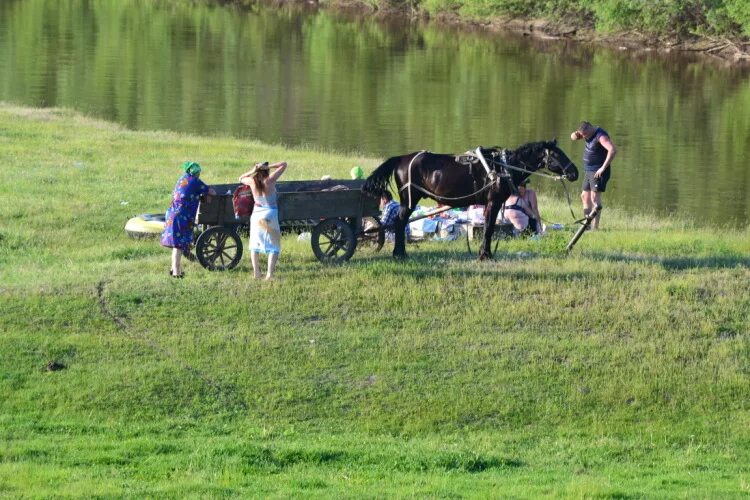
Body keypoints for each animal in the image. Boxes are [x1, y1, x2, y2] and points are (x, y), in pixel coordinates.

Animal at [364, 140, 580, 260]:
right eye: (556, 154)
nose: (575, 172)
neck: (502, 167)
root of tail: (401, 159)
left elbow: (487, 228)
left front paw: (485, 253)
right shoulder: (493, 203)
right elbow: (489, 229)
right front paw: (485, 255)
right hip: (409, 199)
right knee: (400, 222)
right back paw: (399, 252)